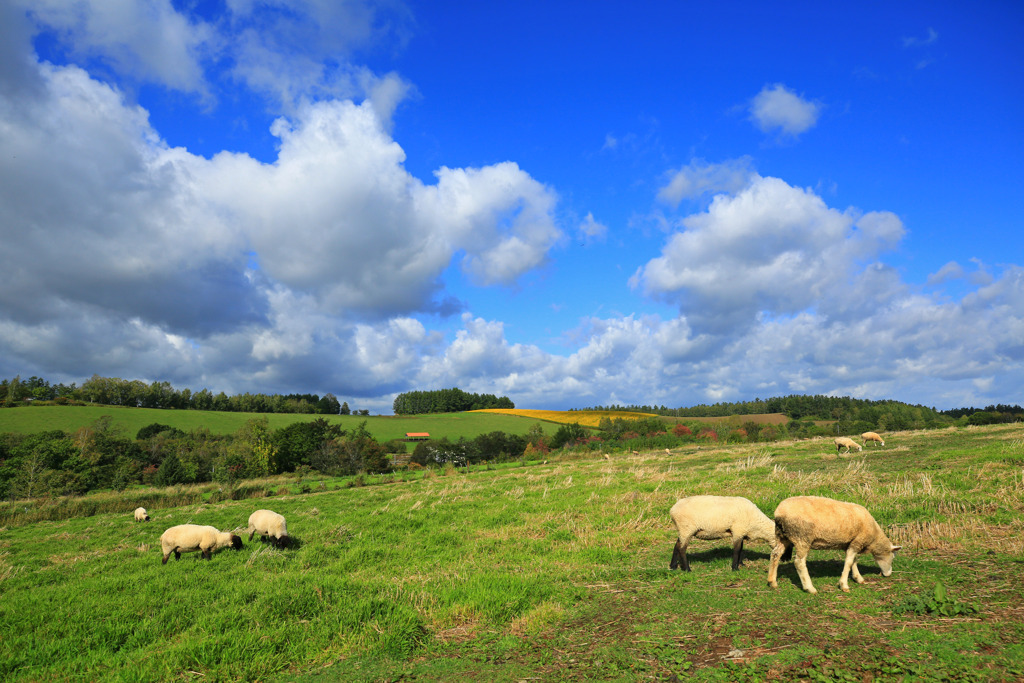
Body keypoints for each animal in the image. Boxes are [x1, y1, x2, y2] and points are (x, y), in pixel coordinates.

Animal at [765, 493, 901, 593]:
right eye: (893, 557)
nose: (888, 574)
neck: (874, 537)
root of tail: (779, 512)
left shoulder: (851, 543)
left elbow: (853, 561)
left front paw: (858, 578)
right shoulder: (857, 542)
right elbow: (849, 562)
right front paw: (844, 585)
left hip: (782, 537)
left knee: (775, 554)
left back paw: (772, 582)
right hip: (802, 538)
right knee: (799, 562)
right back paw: (810, 588)